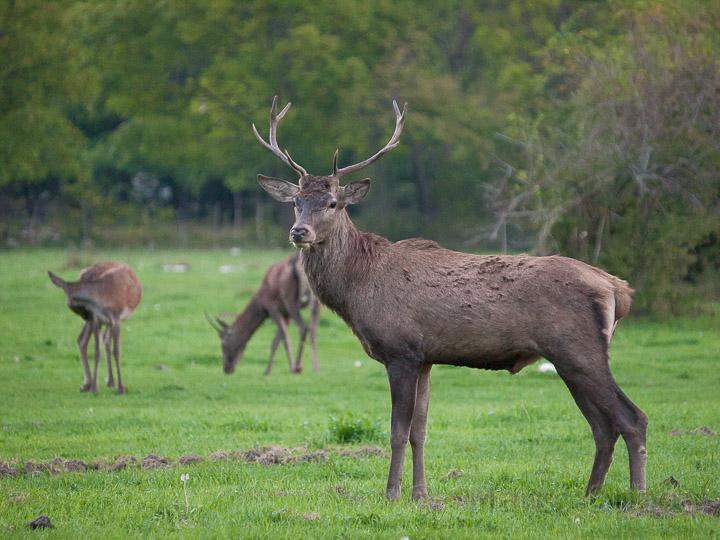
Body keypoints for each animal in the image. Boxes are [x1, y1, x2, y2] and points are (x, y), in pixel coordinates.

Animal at [48, 260, 142, 392]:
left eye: (73, 301)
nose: (84, 315)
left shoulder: (116, 318)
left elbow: (117, 351)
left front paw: (121, 387)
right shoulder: (97, 319)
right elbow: (97, 352)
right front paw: (94, 387)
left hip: (106, 322)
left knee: (102, 340)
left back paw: (107, 382)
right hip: (97, 322)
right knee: (85, 340)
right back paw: (89, 384)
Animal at [252, 97, 648, 502]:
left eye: (332, 203)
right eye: (296, 201)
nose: (299, 232)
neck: (359, 287)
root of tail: (617, 288)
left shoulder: (401, 351)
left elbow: (397, 431)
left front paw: (392, 494)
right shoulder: (426, 358)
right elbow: (420, 431)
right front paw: (420, 494)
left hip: (579, 349)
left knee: (632, 418)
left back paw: (635, 495)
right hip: (569, 358)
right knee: (603, 426)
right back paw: (591, 493)